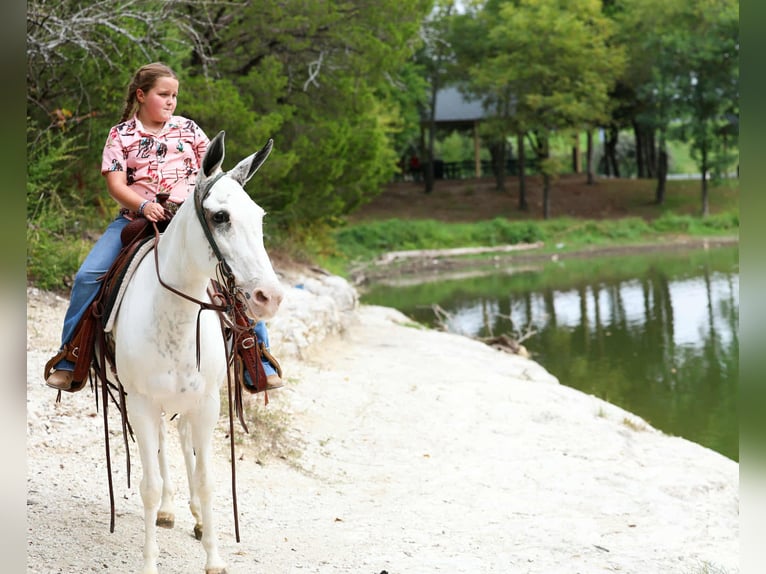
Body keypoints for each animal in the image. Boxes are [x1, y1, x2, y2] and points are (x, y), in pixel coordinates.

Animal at [112, 131, 284, 574]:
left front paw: (214, 557)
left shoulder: (208, 402)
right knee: (161, 447)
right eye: (220, 217)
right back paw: (170, 509)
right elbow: (149, 485)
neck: (175, 315)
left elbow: (207, 479)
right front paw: (150, 561)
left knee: (183, 438)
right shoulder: (140, 402)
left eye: (259, 218)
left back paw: (193, 515)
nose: (270, 297)